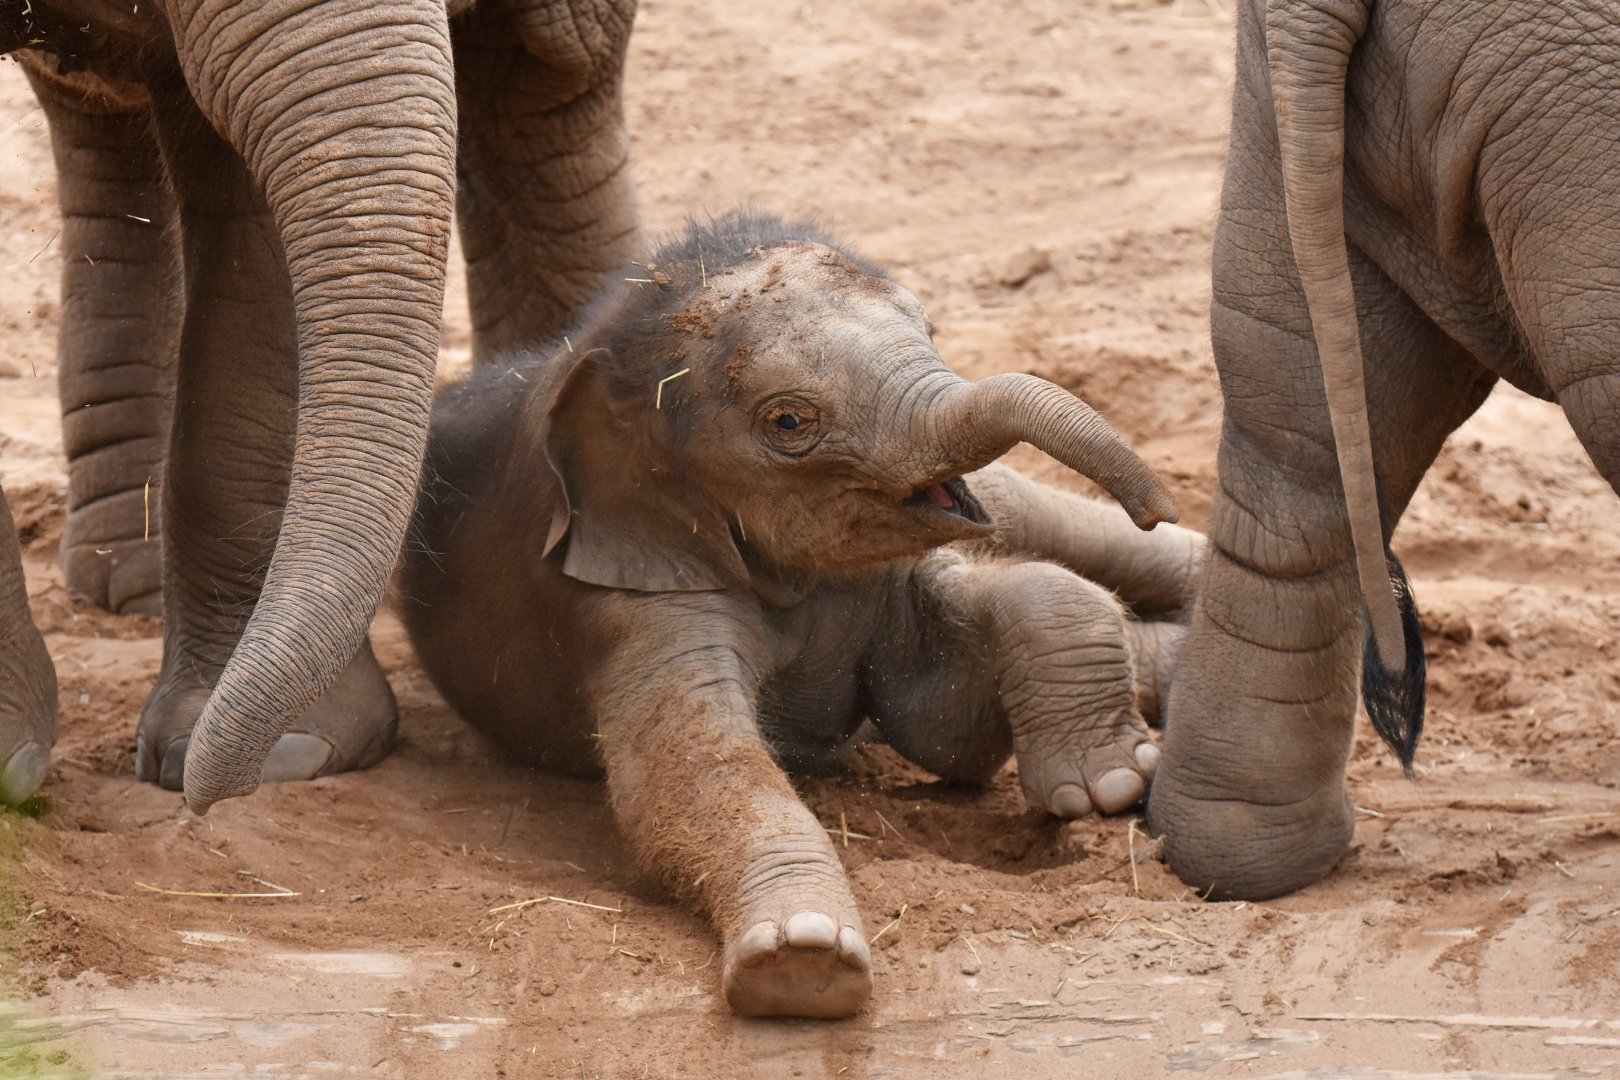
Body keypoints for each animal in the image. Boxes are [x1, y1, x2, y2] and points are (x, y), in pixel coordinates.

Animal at [398, 210, 1204, 1018]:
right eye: (789, 420)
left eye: (932, 330)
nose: (1156, 504)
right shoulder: (625, 591)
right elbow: (689, 771)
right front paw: (803, 960)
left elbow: (948, 716)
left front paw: (1108, 786)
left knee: (1044, 520)